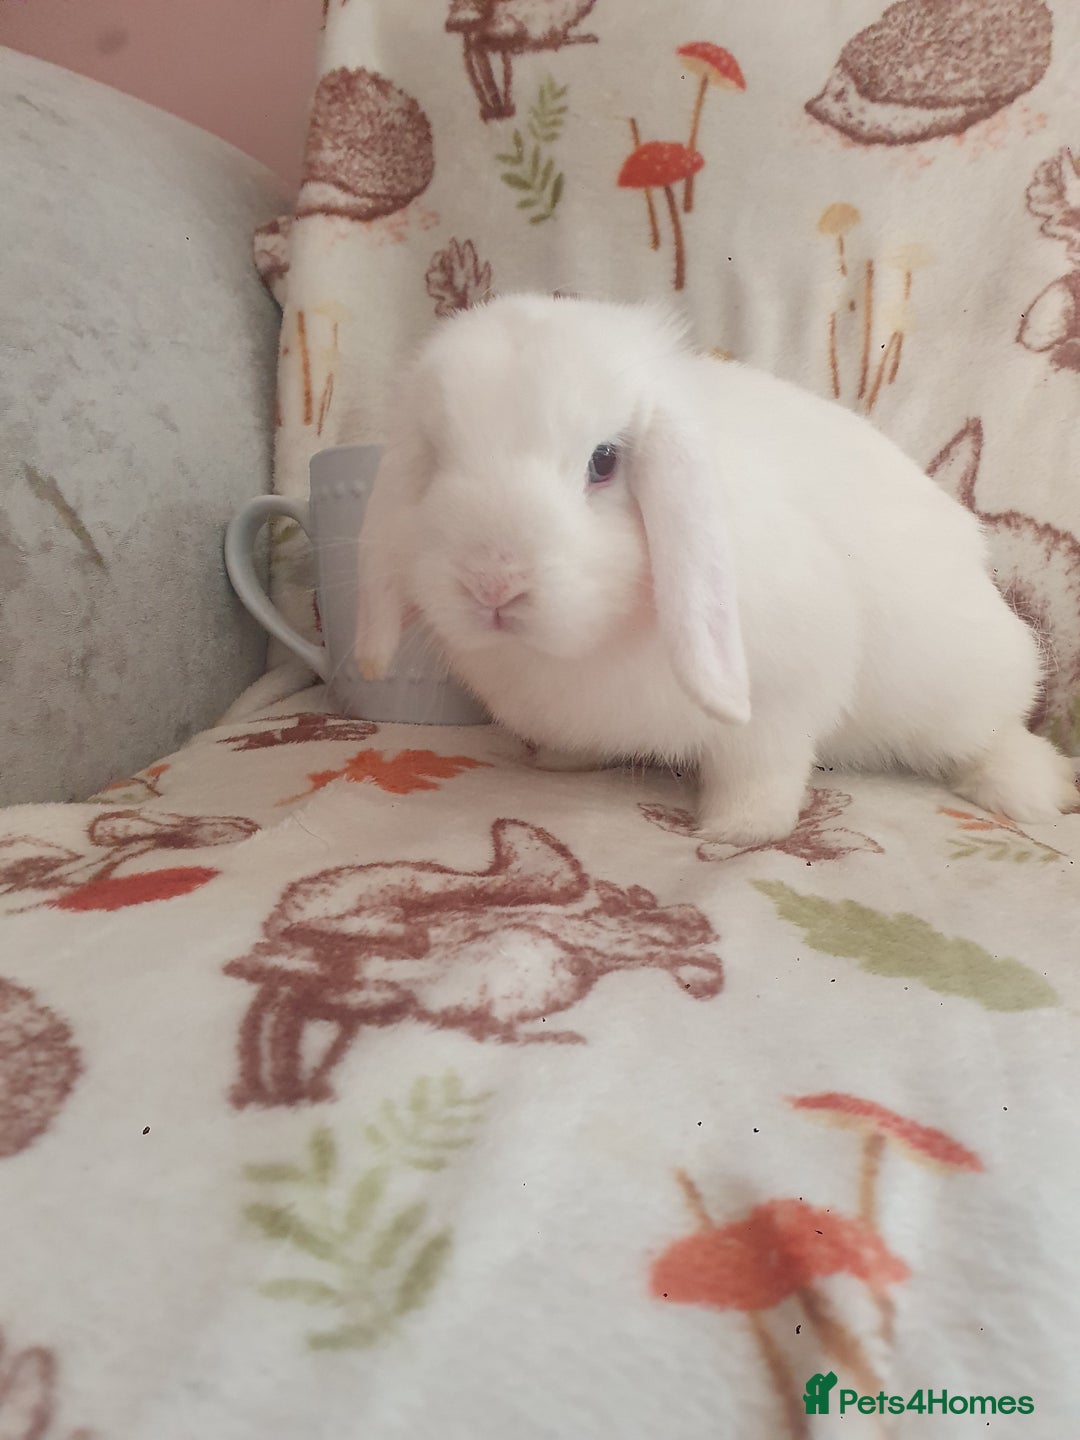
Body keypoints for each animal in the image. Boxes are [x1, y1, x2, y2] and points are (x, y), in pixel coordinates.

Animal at [355, 293, 1078, 847]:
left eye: (603, 461)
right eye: (436, 460)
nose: (493, 584)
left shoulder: (780, 704)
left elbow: (760, 774)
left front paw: (737, 831)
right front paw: (559, 763)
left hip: (961, 690)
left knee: (997, 736)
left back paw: (1030, 793)